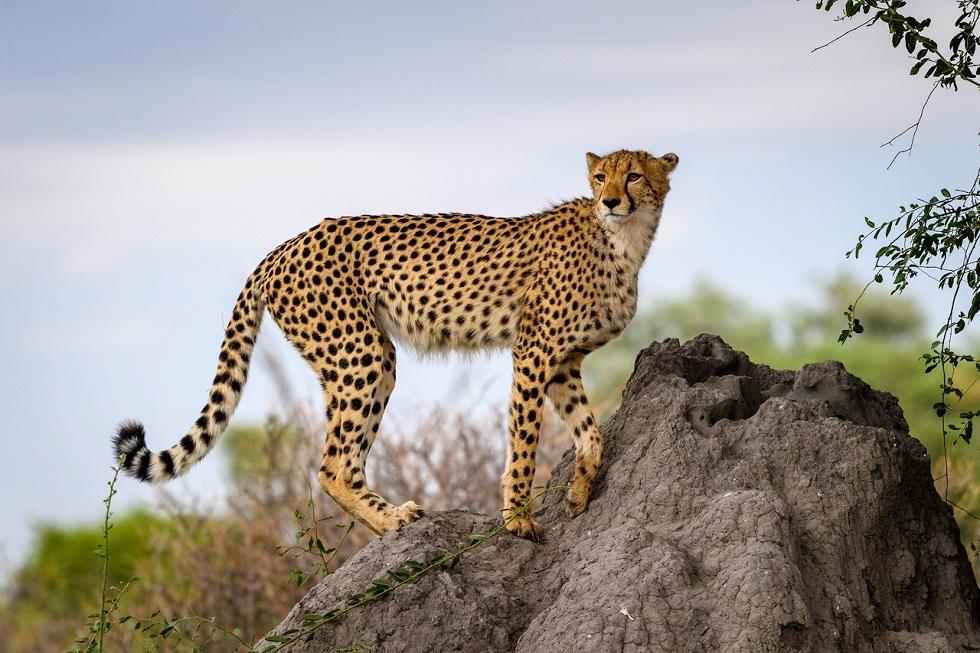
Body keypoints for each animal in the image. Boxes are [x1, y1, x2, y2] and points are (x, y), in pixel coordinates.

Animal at [112, 148, 678, 540]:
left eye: (634, 174)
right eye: (601, 176)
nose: (611, 199)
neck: (624, 241)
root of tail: (284, 245)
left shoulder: (562, 362)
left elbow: (591, 434)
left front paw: (580, 495)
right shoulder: (533, 351)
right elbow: (524, 440)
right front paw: (517, 519)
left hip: (366, 359)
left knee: (346, 459)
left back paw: (388, 520)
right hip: (359, 352)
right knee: (331, 466)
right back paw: (394, 522)